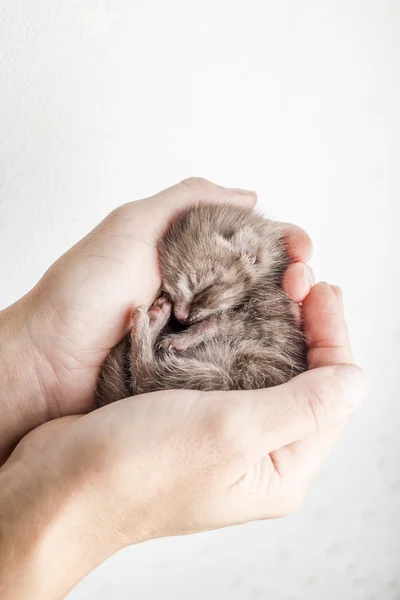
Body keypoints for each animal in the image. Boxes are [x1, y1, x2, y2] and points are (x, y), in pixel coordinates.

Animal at [95, 203, 308, 408]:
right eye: (170, 292)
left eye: (202, 288)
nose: (180, 317)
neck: (263, 282)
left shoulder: (266, 321)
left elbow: (217, 322)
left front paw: (185, 337)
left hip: (231, 375)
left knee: (144, 379)